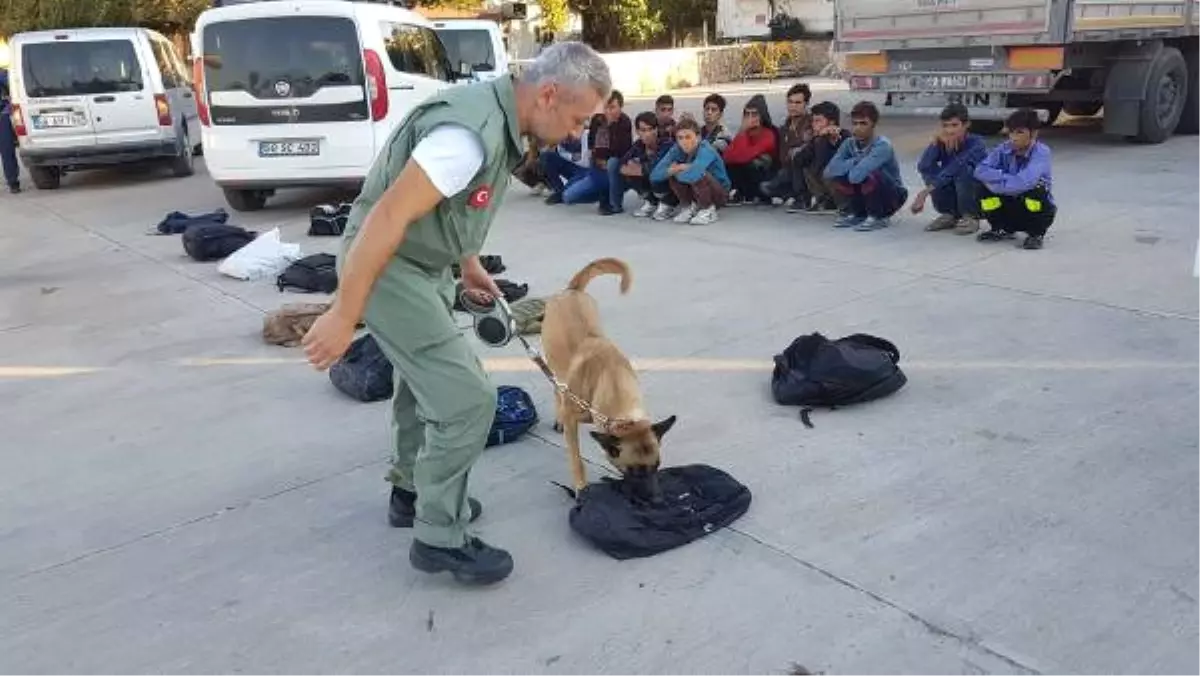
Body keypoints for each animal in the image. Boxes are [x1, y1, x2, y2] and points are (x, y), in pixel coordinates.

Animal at [542, 256, 676, 499]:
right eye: (634, 471)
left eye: (657, 466)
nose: (658, 501)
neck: (612, 380)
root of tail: (572, 290)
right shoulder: (572, 419)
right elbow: (576, 460)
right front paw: (581, 488)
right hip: (553, 360)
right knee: (557, 388)